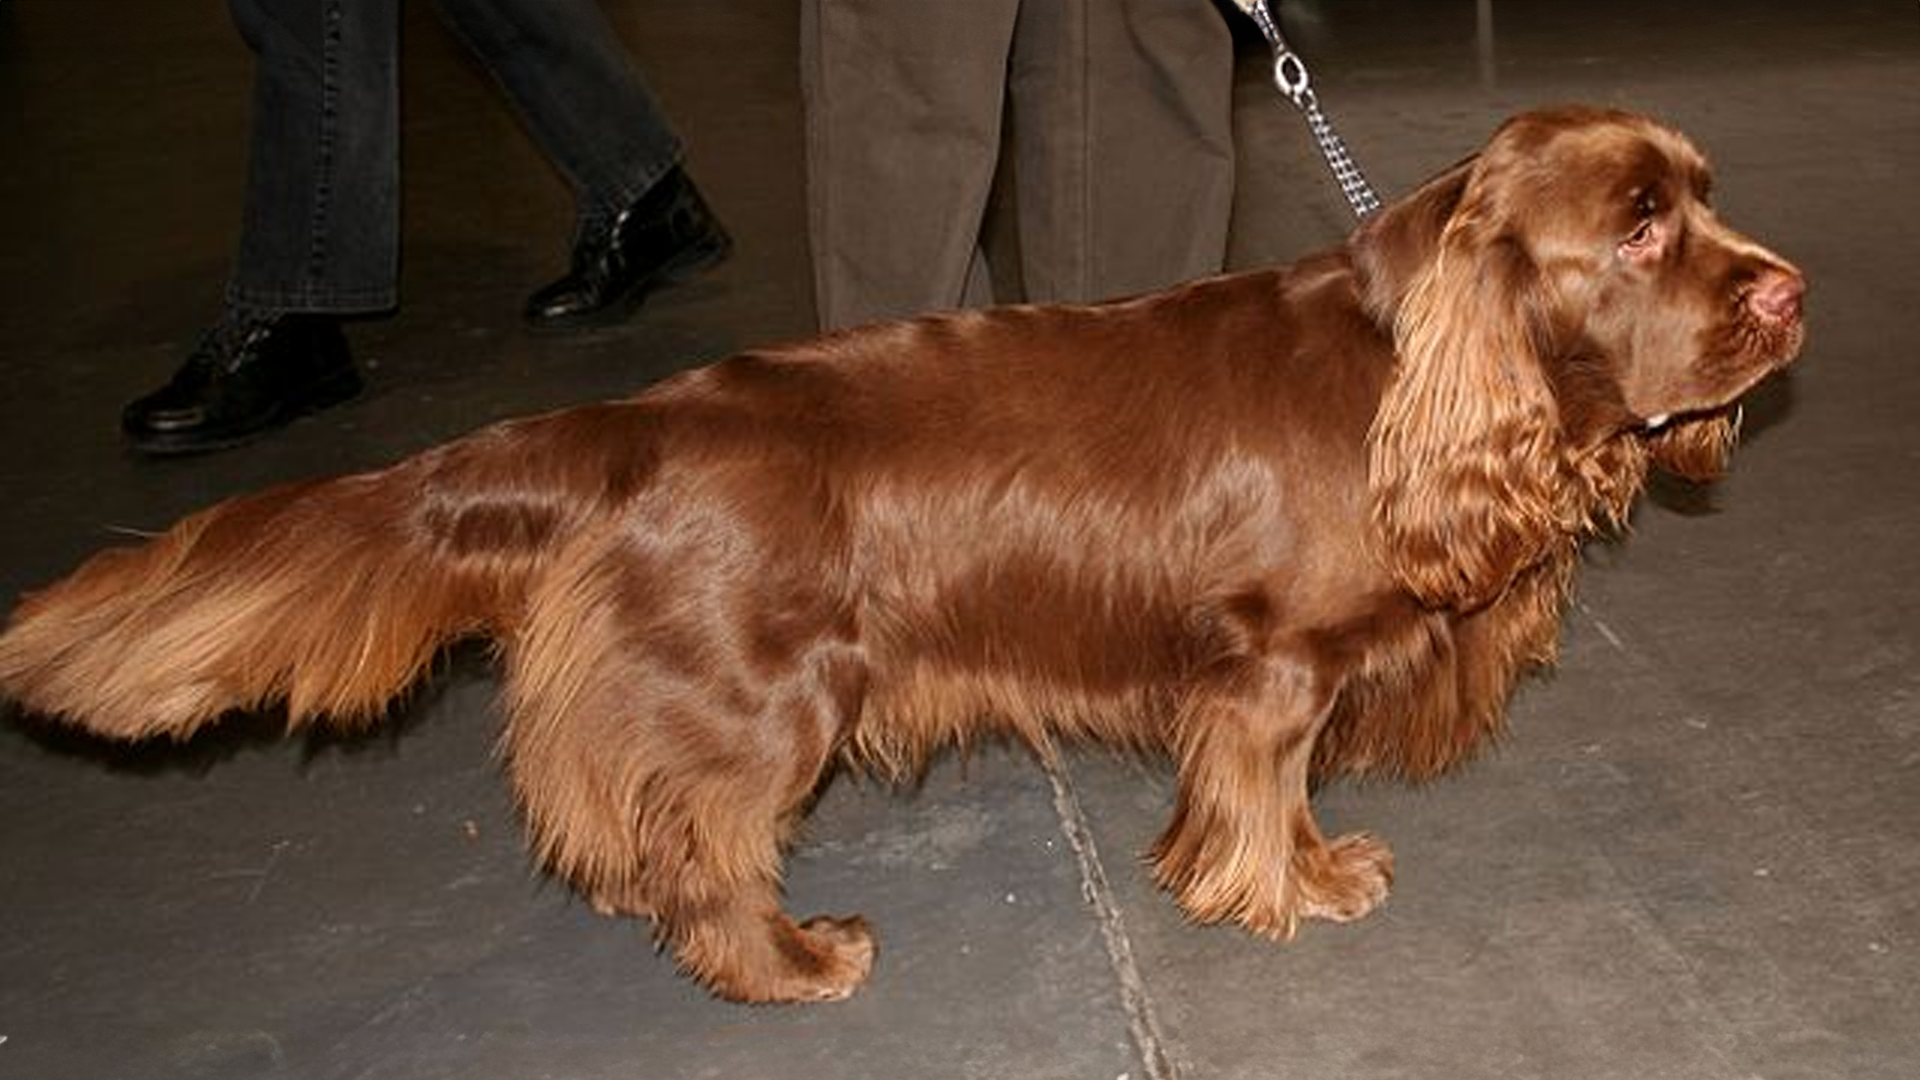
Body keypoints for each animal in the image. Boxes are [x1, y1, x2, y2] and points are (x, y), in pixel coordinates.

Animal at [0, 109, 1797, 999]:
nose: (1789, 295)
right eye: (1639, 225)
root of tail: (630, 424)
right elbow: (1262, 790)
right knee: (702, 846)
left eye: (1704, 196)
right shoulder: (1268, 666)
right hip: (765, 699)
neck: (1405, 365)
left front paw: (1301, 872)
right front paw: (1291, 887)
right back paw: (795, 966)